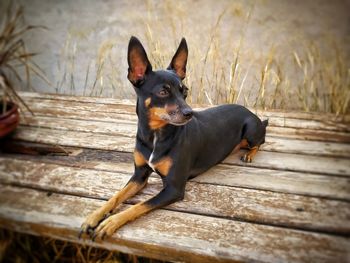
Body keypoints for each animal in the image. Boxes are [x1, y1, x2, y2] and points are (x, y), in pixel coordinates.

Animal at [79, 36, 268, 241]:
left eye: (185, 91)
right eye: (163, 92)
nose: (189, 113)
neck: (155, 136)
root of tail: (251, 113)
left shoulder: (173, 188)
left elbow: (139, 205)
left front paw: (110, 223)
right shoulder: (139, 175)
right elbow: (116, 196)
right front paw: (93, 217)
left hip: (251, 130)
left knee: (260, 141)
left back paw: (249, 154)